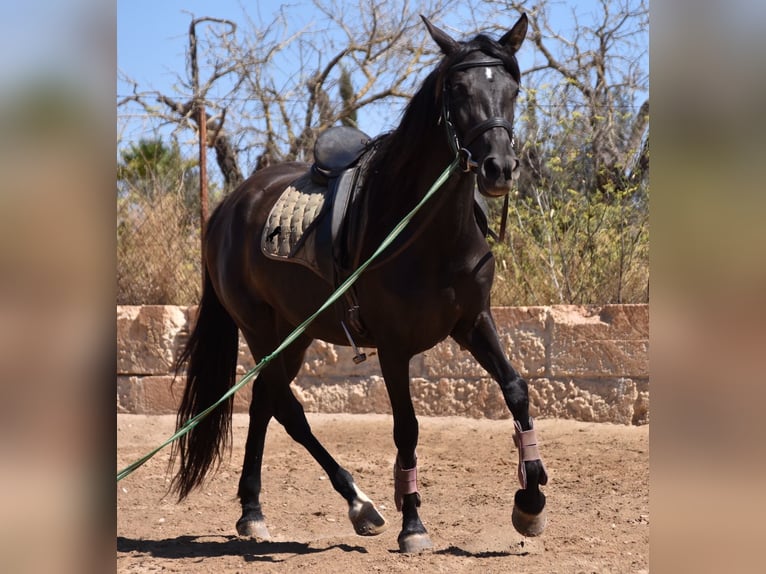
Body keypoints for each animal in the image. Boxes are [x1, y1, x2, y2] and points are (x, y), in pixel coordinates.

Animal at [173, 12, 548, 552]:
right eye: (458, 89)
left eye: (514, 88)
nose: (499, 168)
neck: (427, 231)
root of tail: (227, 206)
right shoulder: (393, 347)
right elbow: (407, 427)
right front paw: (413, 523)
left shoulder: (474, 322)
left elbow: (516, 389)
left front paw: (531, 500)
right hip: (262, 330)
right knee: (286, 407)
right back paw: (358, 504)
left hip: (294, 335)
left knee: (266, 402)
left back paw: (254, 512)